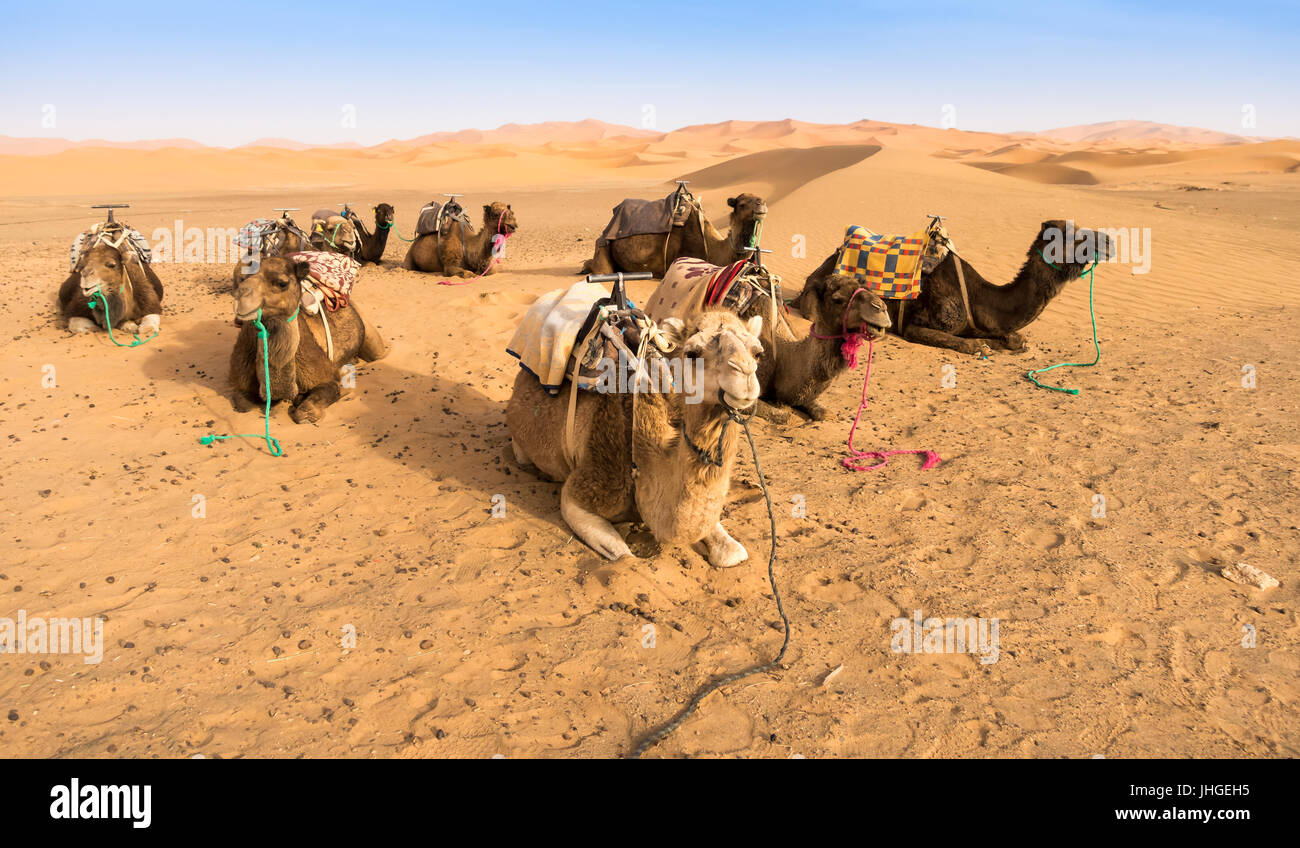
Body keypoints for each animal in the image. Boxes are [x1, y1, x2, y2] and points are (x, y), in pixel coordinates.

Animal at [229, 256, 387, 424]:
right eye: (242, 279)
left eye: (282, 283)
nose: (241, 300)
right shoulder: (239, 382)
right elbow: (244, 405)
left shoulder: (327, 378)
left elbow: (304, 413)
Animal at [506, 310, 764, 567]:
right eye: (692, 353)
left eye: (758, 353)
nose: (745, 374)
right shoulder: (587, 488)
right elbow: (623, 555)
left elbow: (734, 553)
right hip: (521, 445)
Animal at [798, 219, 1114, 357]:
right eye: (1072, 235)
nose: (1109, 240)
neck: (978, 298)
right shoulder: (917, 324)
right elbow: (968, 343)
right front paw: (981, 346)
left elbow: (1017, 339)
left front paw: (1008, 341)